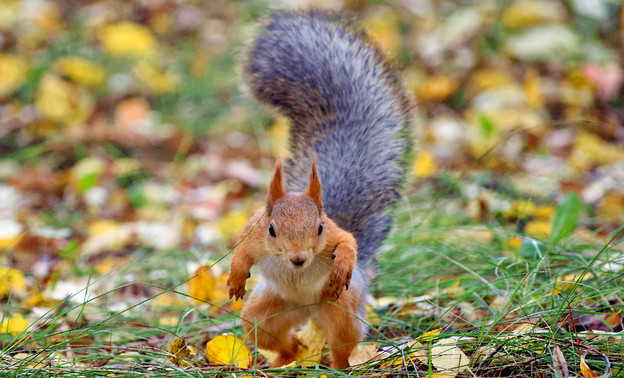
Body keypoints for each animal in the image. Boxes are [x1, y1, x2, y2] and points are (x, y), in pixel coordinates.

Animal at [225, 11, 410, 370]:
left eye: (320, 227)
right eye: (272, 229)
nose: (298, 259)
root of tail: (306, 308)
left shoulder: (335, 235)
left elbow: (348, 242)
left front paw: (342, 264)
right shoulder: (254, 231)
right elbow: (241, 249)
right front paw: (237, 276)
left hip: (342, 310)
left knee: (343, 345)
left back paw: (339, 367)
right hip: (267, 313)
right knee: (269, 334)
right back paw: (286, 359)